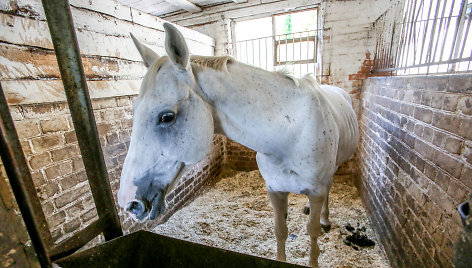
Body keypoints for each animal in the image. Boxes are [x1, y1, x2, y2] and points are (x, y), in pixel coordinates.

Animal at [118, 23, 358, 266]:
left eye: (167, 117)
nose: (128, 202)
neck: (288, 135)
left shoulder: (316, 192)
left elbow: (313, 231)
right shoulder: (275, 190)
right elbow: (280, 230)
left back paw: (326, 219)